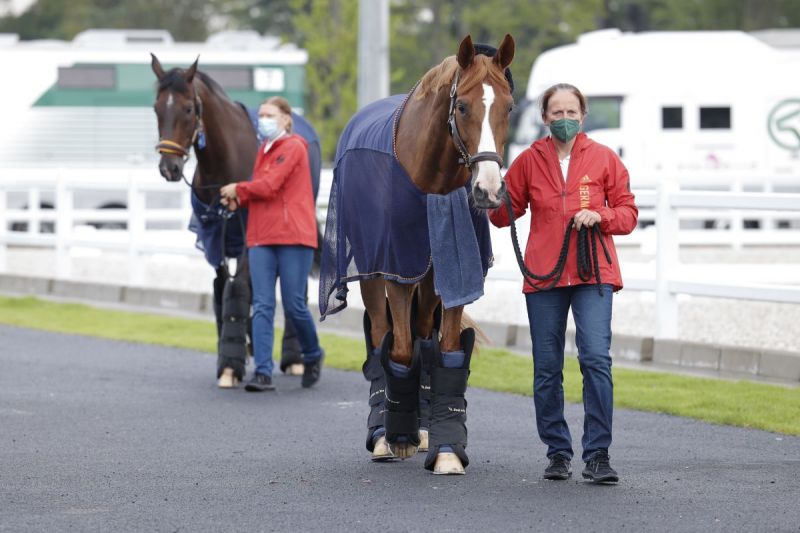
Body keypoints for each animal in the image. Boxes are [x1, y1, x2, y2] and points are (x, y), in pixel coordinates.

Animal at [319, 34, 515, 475]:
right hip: (375, 272)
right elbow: (399, 348)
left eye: (510, 106)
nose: (489, 190)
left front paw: (445, 447)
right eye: (462, 106)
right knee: (381, 335)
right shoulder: (397, 269)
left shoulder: (453, 272)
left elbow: (446, 348)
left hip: (430, 278)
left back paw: (423, 427)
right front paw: (396, 436)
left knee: (425, 333)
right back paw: (384, 432)